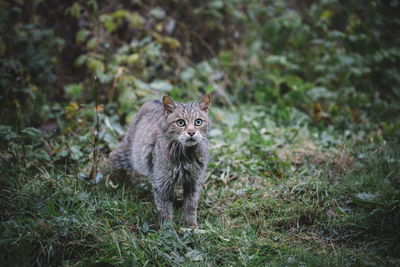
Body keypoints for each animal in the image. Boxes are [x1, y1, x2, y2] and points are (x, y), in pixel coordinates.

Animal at [108, 95, 211, 227]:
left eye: (198, 122)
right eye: (180, 122)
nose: (191, 132)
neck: (186, 155)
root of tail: (152, 100)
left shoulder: (194, 182)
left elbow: (191, 206)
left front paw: (191, 226)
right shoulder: (162, 183)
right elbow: (164, 209)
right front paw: (168, 229)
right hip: (129, 156)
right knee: (111, 156)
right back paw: (111, 181)